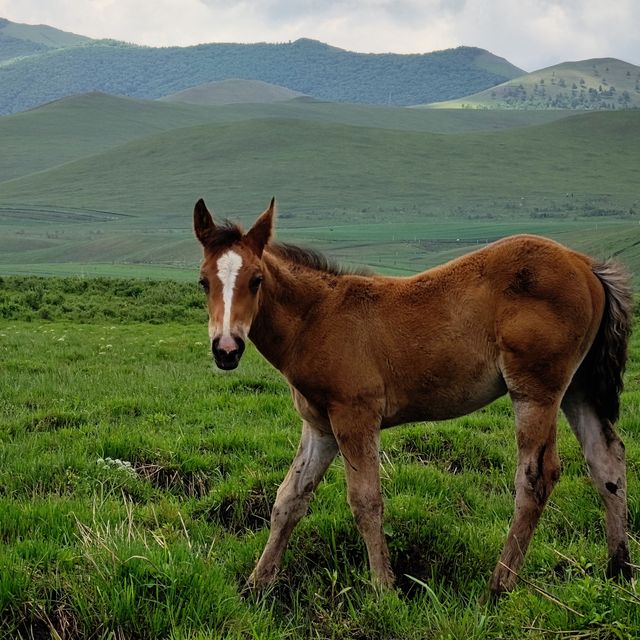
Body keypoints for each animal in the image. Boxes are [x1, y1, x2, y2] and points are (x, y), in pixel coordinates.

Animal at [192, 199, 632, 596]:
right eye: (203, 281)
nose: (227, 349)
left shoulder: (355, 417)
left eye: (256, 279)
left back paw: (499, 585)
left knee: (537, 477)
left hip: (536, 390)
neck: (316, 319)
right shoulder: (320, 427)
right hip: (578, 388)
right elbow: (289, 499)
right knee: (607, 460)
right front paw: (257, 583)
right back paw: (619, 569)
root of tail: (586, 264)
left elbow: (366, 501)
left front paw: (384, 588)